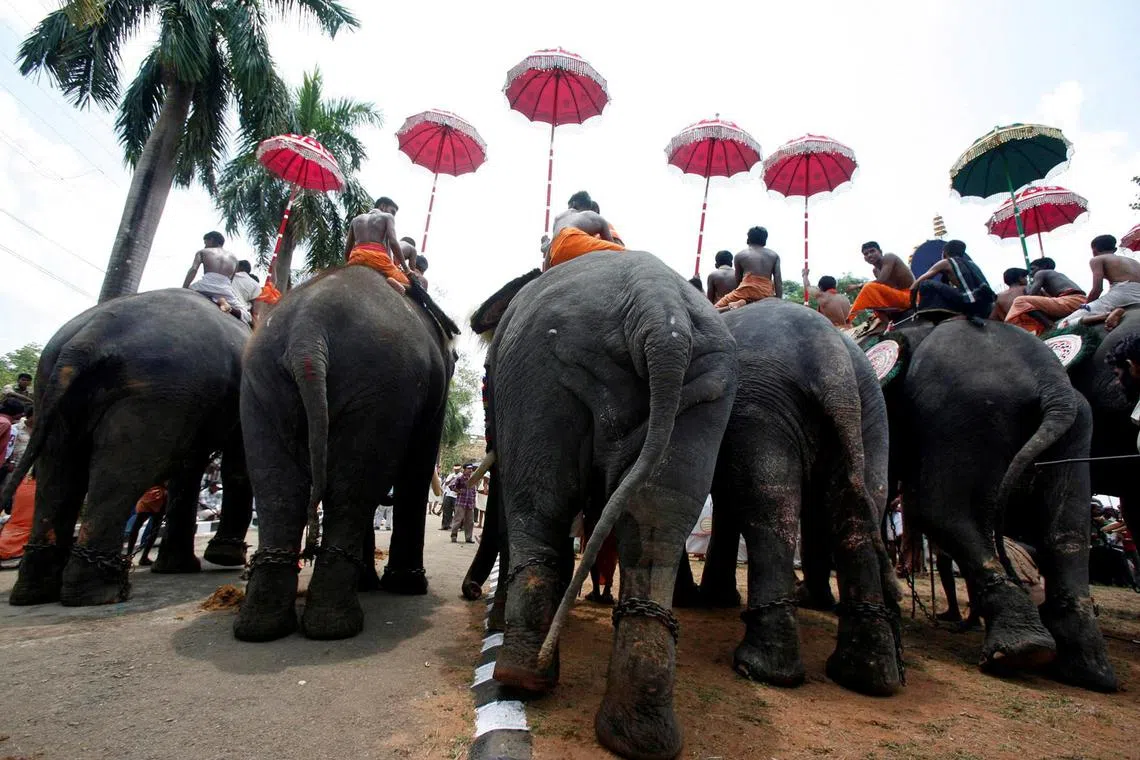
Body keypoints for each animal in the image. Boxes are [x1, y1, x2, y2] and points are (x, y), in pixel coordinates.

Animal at [1, 289, 253, 606]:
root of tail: (89, 337)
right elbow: (235, 467)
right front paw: (224, 558)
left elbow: (189, 472)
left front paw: (181, 566)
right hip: (155, 394)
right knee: (121, 475)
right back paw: (102, 592)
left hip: (54, 387)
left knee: (58, 470)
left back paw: (36, 592)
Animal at [233, 266, 458, 643]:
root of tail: (308, 332)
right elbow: (416, 469)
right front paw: (408, 586)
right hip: (377, 385)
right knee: (351, 487)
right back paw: (333, 626)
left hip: (264, 382)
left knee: (281, 488)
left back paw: (264, 627)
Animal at [485, 251, 737, 760]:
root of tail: (659, 311)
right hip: (705, 386)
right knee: (660, 517)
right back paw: (638, 736)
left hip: (542, 369)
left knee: (538, 501)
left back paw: (520, 676)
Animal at [694, 300, 902, 696]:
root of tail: (832, 360)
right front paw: (714, 599)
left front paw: (706, 601)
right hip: (872, 414)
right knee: (861, 506)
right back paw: (867, 675)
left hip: (760, 407)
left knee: (770, 508)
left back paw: (759, 668)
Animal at [861, 318, 1116, 692]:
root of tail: (1052, 381)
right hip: (1078, 428)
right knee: (1067, 533)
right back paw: (1087, 667)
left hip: (966, 412)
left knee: (938, 510)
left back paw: (1018, 651)